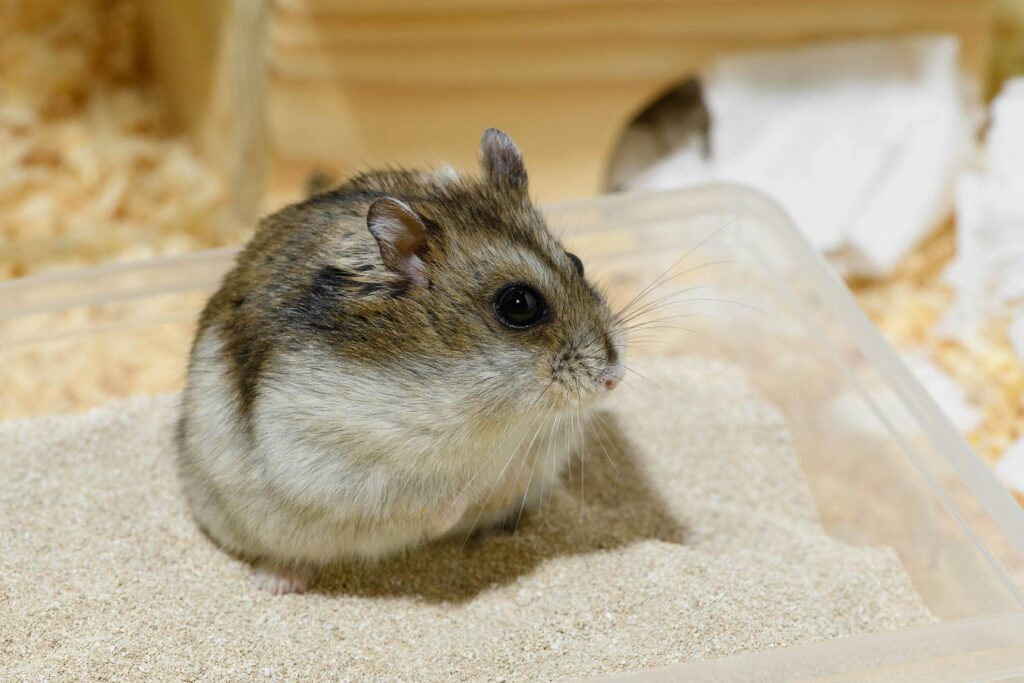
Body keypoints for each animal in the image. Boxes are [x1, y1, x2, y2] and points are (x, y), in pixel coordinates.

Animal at [176, 129, 624, 594]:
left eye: (577, 262)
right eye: (519, 304)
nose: (613, 378)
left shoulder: (552, 437)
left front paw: (506, 486)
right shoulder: (331, 452)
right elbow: (438, 500)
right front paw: (471, 496)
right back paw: (278, 581)